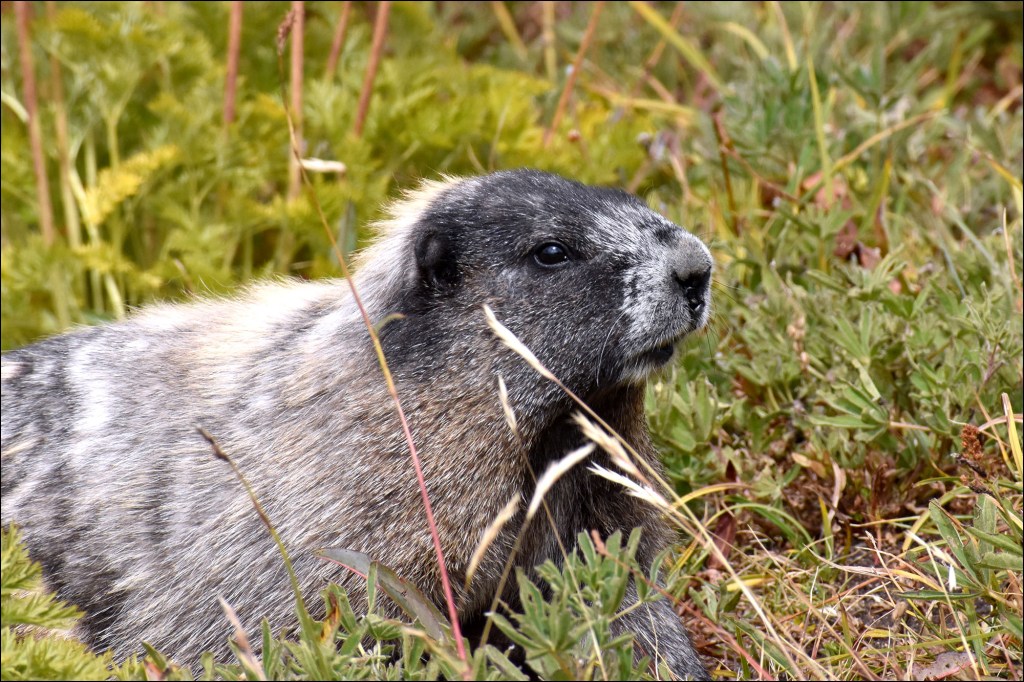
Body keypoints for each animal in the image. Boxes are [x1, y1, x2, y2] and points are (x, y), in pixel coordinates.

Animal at [1, 169, 712, 679]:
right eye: (552, 251)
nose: (698, 267)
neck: (547, 434)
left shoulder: (596, 487)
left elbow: (620, 590)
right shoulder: (328, 515)